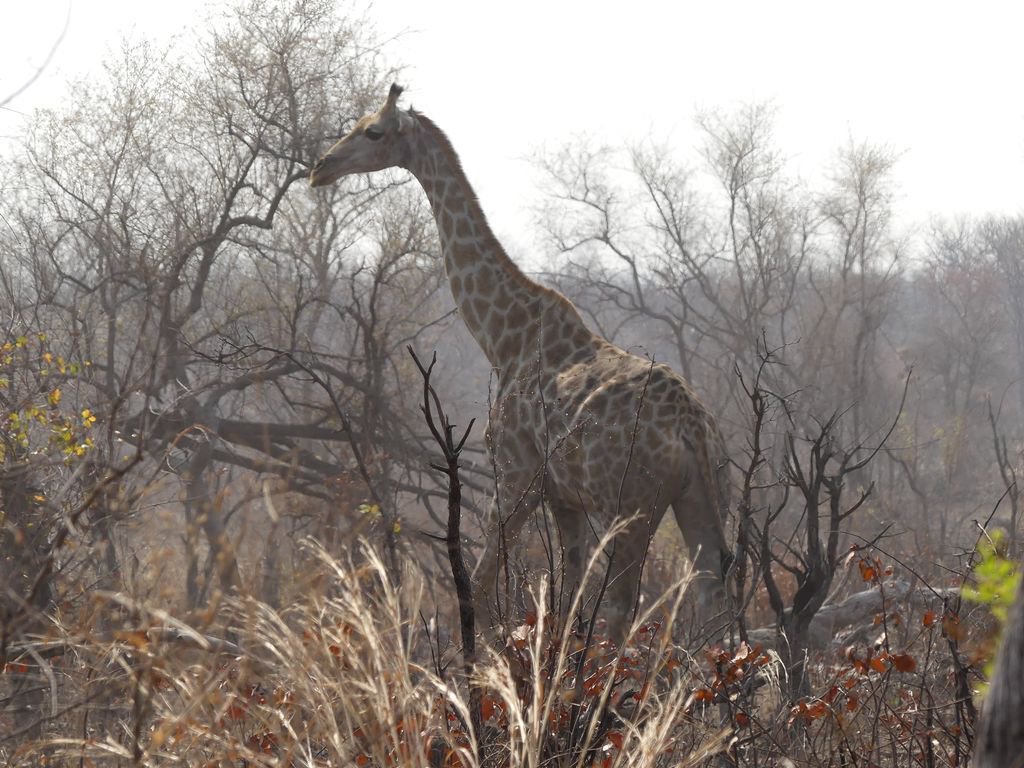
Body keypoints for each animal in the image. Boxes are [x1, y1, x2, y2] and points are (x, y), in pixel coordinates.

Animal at [310, 84, 731, 638]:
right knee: (711, 591)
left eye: (373, 131)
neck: (503, 338)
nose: (321, 167)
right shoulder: (564, 497)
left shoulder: (515, 474)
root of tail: (691, 428)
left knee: (624, 605)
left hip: (630, 505)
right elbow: (567, 597)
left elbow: (480, 585)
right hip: (702, 494)